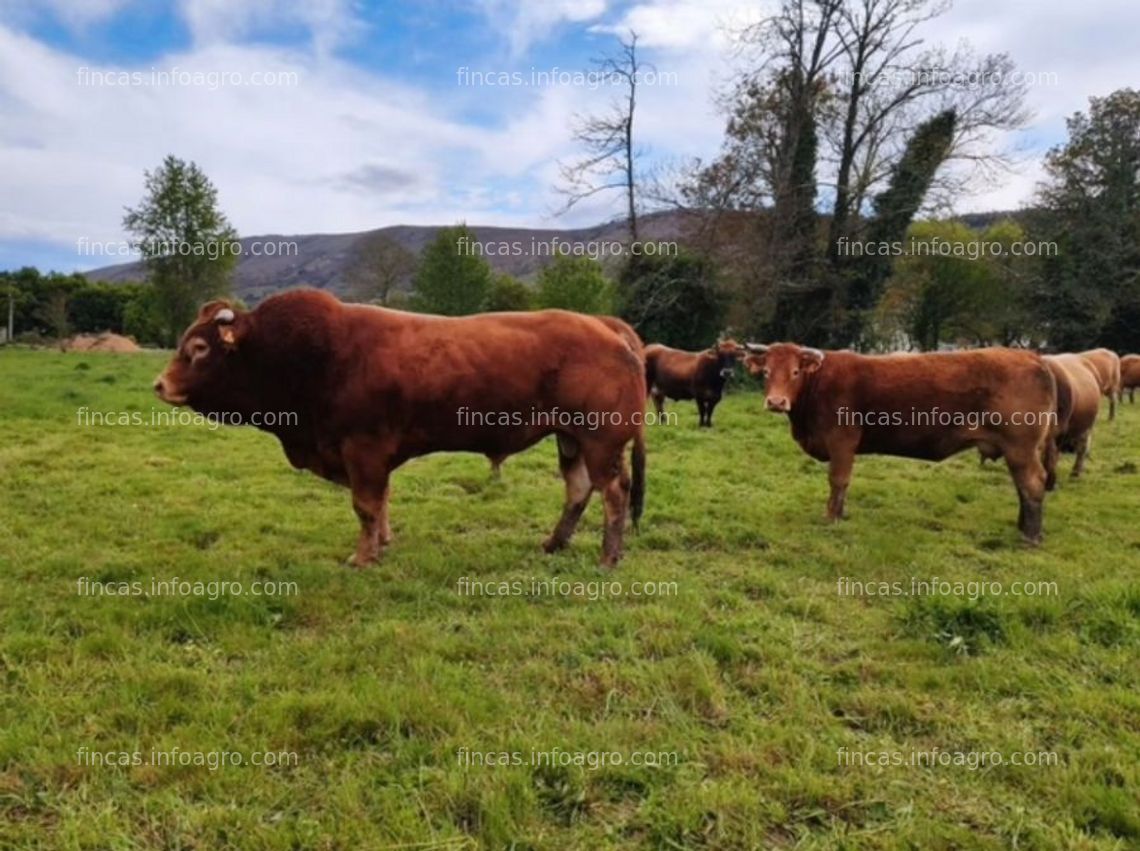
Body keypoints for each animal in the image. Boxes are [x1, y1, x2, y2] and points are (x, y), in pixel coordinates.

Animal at [155, 289, 647, 563]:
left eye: (198, 348)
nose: (160, 384)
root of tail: (604, 324)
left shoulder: (362, 449)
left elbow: (365, 505)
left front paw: (363, 555)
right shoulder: (370, 456)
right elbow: (381, 502)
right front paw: (383, 542)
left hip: (600, 440)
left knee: (613, 492)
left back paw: (608, 557)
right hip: (571, 439)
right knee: (578, 489)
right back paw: (554, 544)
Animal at [743, 342, 1053, 540]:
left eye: (795, 372)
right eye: (766, 372)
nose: (776, 402)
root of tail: (1032, 357)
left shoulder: (841, 442)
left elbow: (838, 481)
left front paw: (831, 518)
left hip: (1021, 448)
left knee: (1032, 484)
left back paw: (1030, 536)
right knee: (1022, 486)